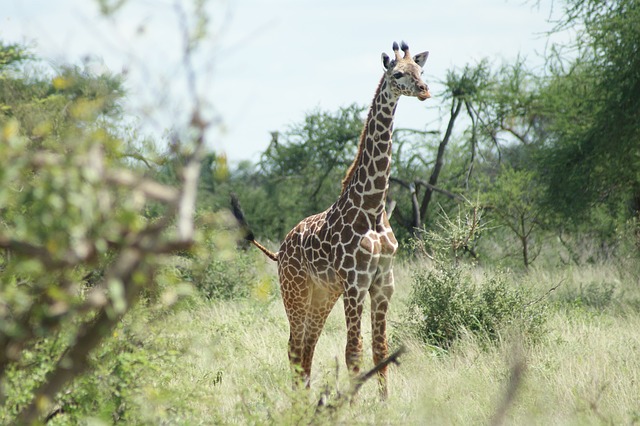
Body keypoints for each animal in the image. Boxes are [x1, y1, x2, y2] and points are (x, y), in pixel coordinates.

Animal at [232, 41, 432, 398]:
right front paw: (350, 405)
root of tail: (280, 250)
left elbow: (381, 349)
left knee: (307, 345)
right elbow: (354, 351)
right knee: (294, 345)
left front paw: (384, 404)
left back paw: (306, 397)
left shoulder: (384, 282)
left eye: (420, 70)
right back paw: (299, 401)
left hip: (322, 295)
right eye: (398, 74)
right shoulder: (355, 282)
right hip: (295, 290)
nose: (424, 90)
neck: (373, 209)